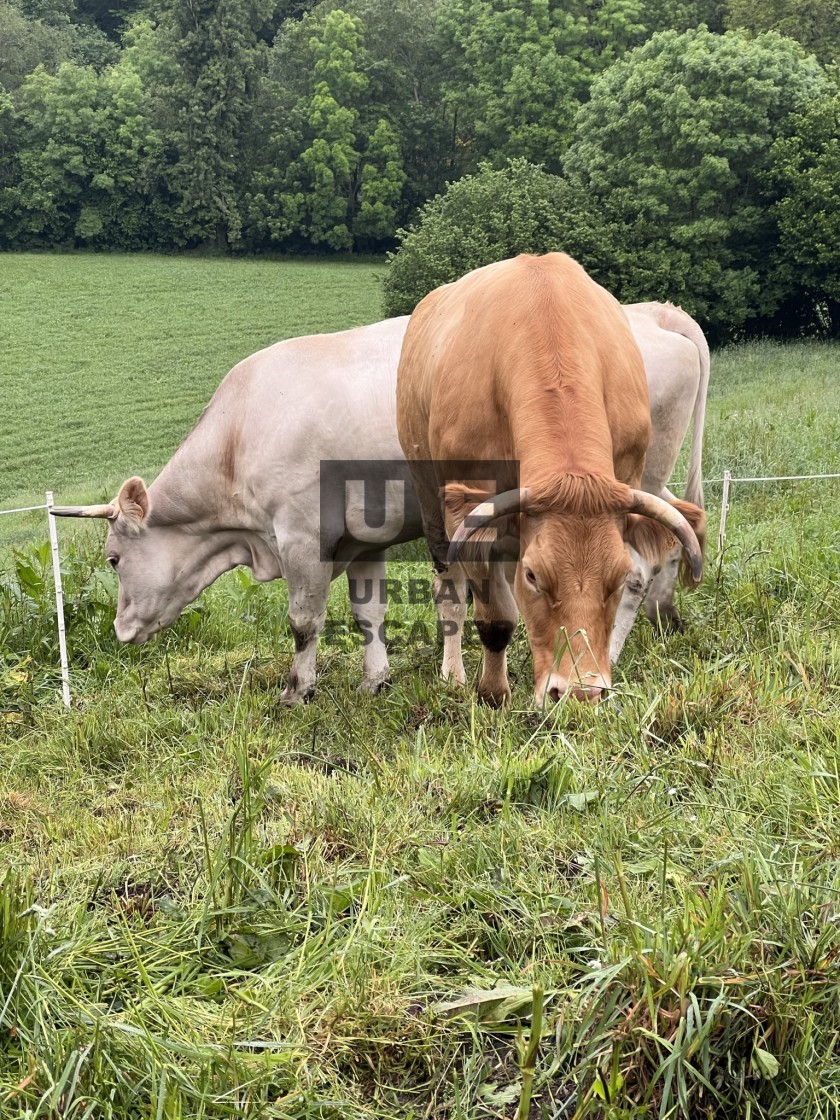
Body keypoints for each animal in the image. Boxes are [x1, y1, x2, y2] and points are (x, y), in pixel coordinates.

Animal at [398, 256, 707, 707]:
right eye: (533, 576)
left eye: (615, 576)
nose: (579, 692)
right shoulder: (468, 510)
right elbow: (494, 617)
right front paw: (493, 693)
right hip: (428, 493)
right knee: (450, 592)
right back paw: (453, 674)